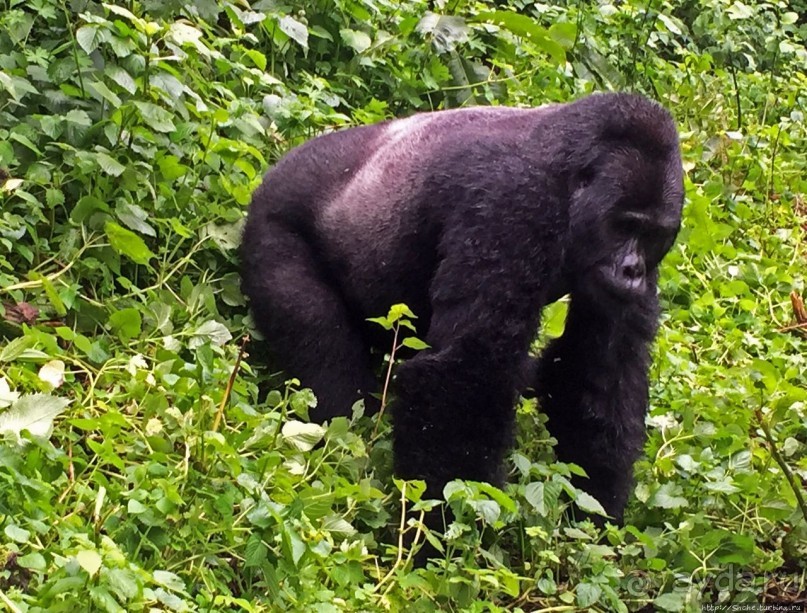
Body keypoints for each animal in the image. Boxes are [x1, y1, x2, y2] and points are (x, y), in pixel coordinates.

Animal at [243, 92, 684, 520]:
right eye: (624, 225)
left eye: (652, 235)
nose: (633, 271)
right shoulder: (515, 206)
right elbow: (467, 371)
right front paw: (442, 524)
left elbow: (604, 378)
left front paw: (596, 511)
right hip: (271, 227)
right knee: (328, 362)